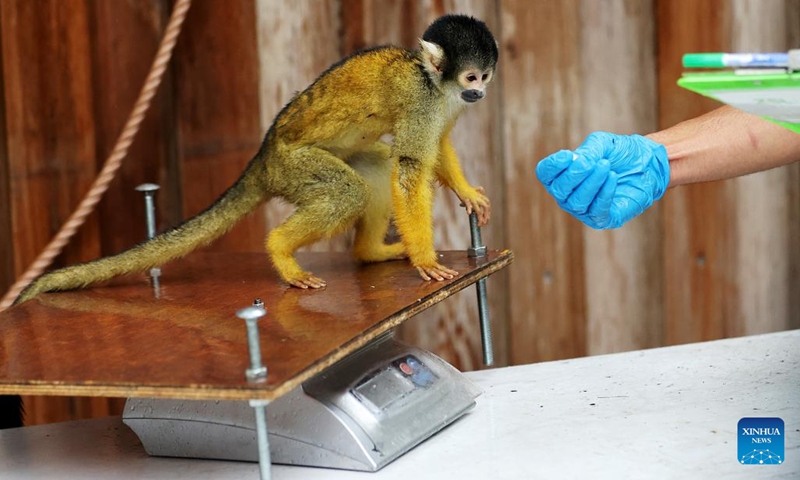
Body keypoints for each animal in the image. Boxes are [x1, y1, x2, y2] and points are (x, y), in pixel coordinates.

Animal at [15, 15, 496, 304]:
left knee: (375, 171)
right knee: (348, 191)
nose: (481, 93)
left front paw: (467, 193)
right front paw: (426, 262)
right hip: (292, 166)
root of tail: (262, 157)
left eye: (485, 77)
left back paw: (369, 253)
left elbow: (436, 148)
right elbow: (412, 169)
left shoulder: (444, 103)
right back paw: (280, 250)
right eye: (472, 76)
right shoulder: (421, 99)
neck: (432, 79)